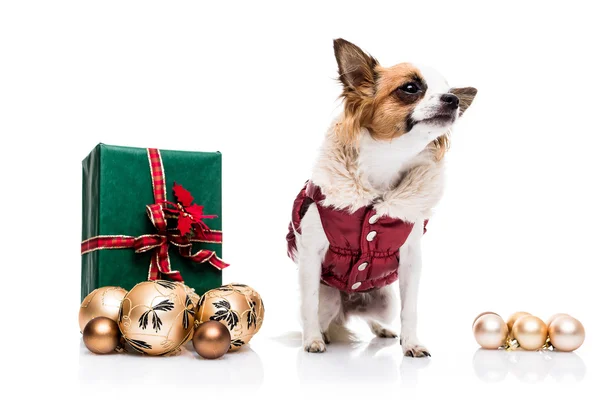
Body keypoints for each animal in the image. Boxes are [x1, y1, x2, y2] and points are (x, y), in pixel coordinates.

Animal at [288, 38, 478, 356]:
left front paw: (411, 343)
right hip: (331, 299)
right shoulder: (311, 254)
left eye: (448, 90)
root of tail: (349, 304)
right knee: (321, 313)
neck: (386, 164)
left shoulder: (411, 259)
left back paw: (383, 329)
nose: (452, 99)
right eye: (410, 88)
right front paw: (312, 340)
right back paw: (323, 334)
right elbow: (307, 304)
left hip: (385, 300)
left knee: (374, 318)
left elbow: (410, 309)